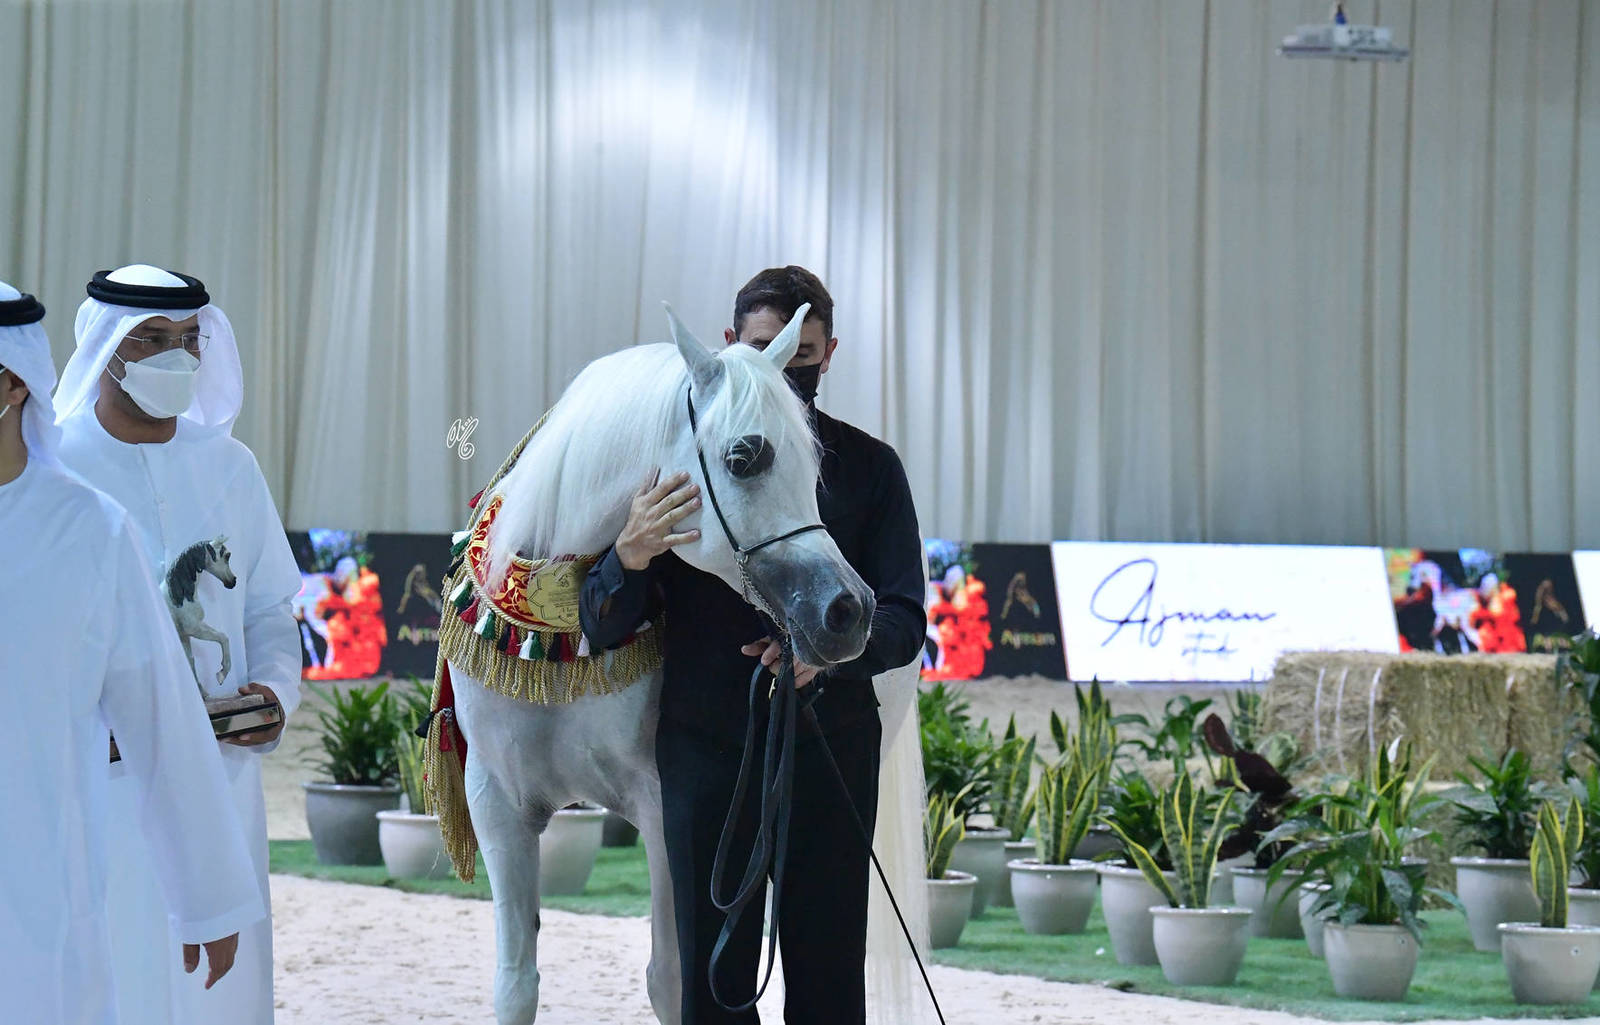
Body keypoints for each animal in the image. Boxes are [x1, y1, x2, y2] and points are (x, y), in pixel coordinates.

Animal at [161, 535, 237, 693]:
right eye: (227, 556)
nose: (233, 581)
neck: (178, 597)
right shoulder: (194, 629)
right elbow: (223, 637)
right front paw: (222, 674)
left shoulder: (185, 635)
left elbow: (190, 660)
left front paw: (202, 693)